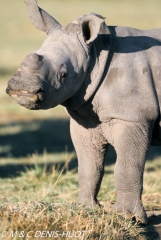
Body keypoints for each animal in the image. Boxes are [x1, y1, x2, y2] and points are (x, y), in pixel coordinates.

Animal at [5, 0, 160, 225]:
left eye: (63, 74)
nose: (21, 88)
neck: (94, 55)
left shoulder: (133, 116)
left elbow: (127, 165)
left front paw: (127, 217)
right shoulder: (86, 116)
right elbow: (89, 165)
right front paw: (84, 208)